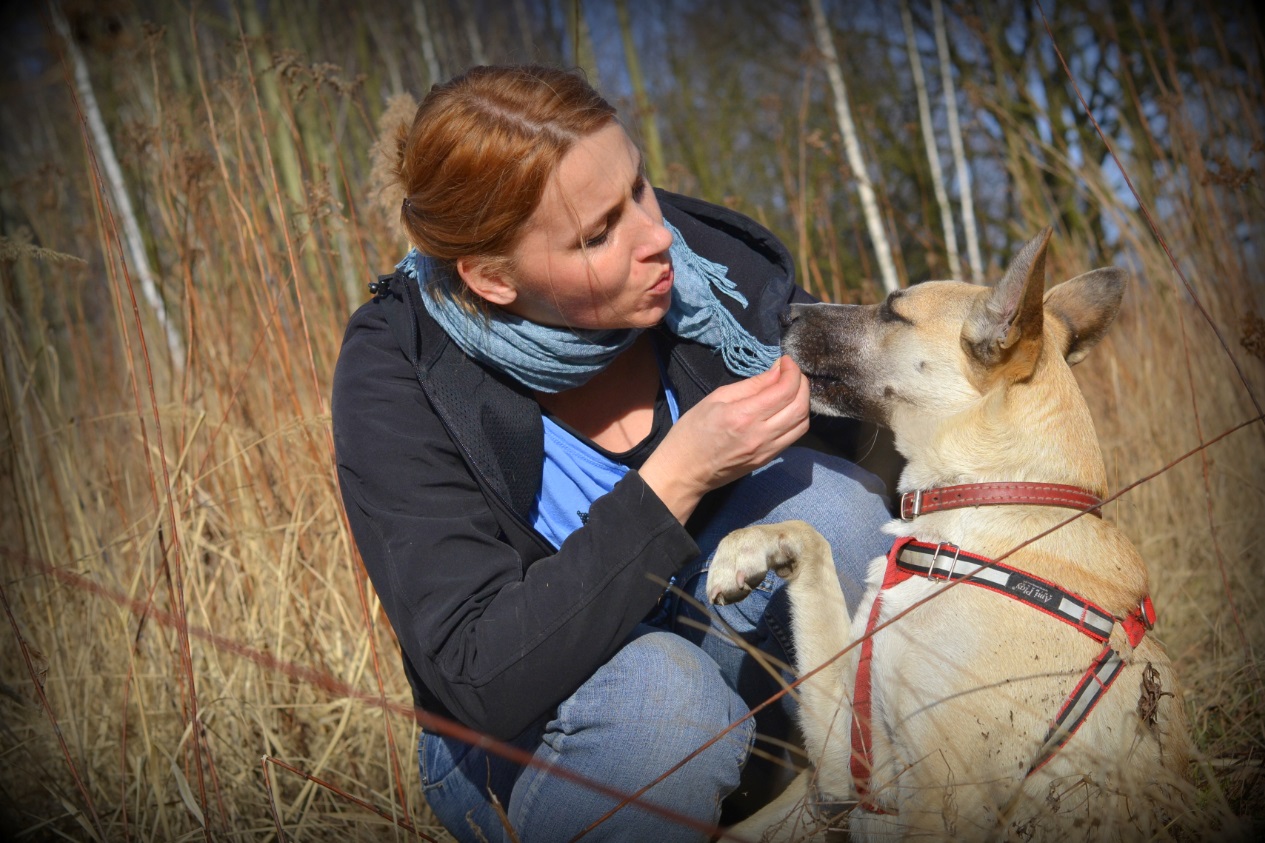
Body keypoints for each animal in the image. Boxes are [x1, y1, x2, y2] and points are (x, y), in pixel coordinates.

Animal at [713, 226, 1194, 835]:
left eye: (892, 311)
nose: (783, 311)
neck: (991, 498)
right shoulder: (856, 762)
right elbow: (806, 538)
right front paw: (742, 552)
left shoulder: (939, 793)